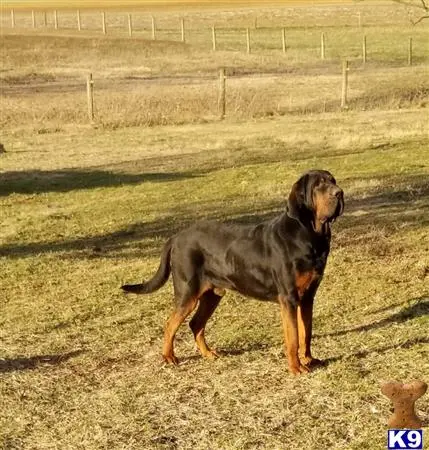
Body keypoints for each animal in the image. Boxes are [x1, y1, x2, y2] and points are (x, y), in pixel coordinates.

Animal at [122, 169, 342, 372]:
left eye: (333, 181)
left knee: (196, 324)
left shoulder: (307, 297)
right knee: (170, 323)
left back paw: (208, 354)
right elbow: (294, 336)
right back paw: (169, 357)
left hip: (212, 294)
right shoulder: (288, 298)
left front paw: (309, 360)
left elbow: (307, 332)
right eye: (318, 185)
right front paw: (296, 368)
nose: (339, 193)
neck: (311, 235)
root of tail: (176, 238)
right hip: (188, 293)